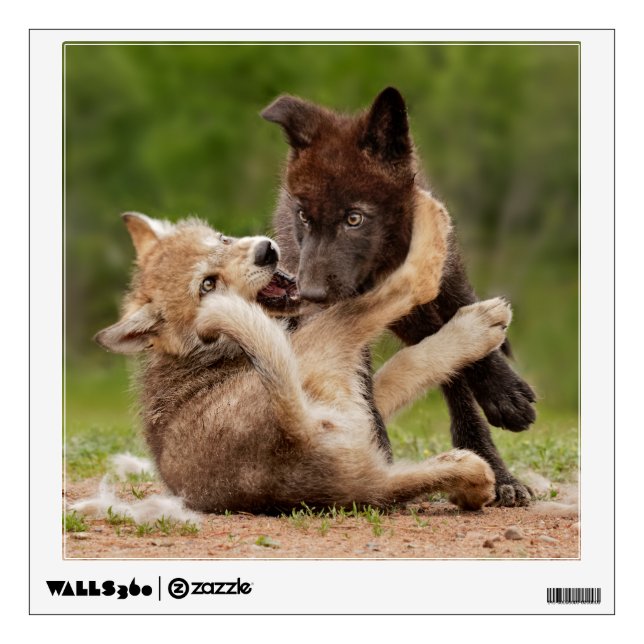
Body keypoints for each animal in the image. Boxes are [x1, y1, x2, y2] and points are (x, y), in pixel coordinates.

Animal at [94, 189, 511, 513]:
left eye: (222, 240)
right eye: (207, 285)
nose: (266, 251)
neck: (208, 352)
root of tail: (292, 437)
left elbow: (402, 371)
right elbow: (412, 352)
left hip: (370, 469)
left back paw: (474, 481)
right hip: (331, 338)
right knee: (412, 284)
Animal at [261, 87, 536, 506]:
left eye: (354, 218)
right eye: (304, 216)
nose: (308, 293)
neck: (384, 268)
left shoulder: (446, 283)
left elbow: (472, 339)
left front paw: (505, 394)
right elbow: (362, 395)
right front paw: (376, 463)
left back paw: (496, 469)